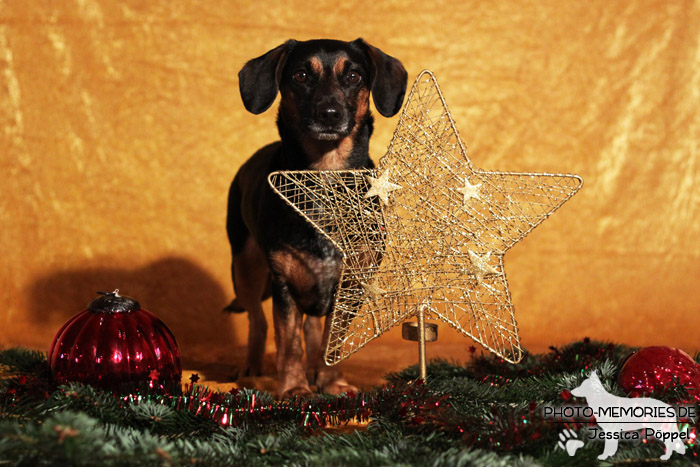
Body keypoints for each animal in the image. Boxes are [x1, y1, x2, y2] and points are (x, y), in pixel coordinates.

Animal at [224, 39, 408, 398]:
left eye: (353, 75)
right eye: (300, 75)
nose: (329, 114)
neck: (325, 178)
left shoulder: (350, 286)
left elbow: (330, 342)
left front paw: (331, 381)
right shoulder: (283, 283)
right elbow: (288, 343)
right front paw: (294, 388)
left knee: (310, 327)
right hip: (244, 264)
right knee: (258, 320)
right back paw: (252, 368)